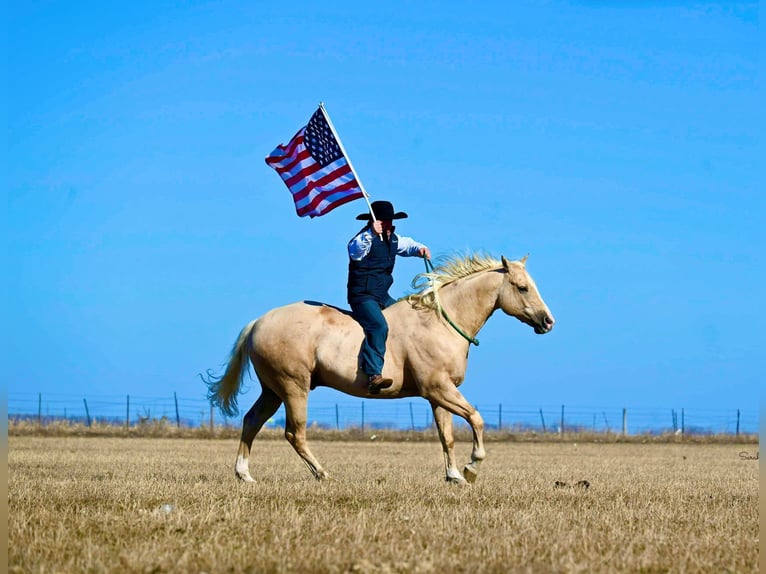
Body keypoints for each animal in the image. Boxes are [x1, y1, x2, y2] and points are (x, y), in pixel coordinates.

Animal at [207, 254, 556, 484]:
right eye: (522, 287)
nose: (548, 321)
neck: (440, 321)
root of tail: (258, 323)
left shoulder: (438, 396)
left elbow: (447, 437)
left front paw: (454, 476)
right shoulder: (439, 389)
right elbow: (476, 419)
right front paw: (471, 468)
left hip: (273, 390)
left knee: (252, 421)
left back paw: (245, 475)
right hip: (293, 388)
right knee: (295, 433)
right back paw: (323, 474)